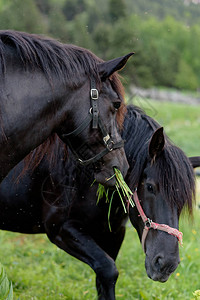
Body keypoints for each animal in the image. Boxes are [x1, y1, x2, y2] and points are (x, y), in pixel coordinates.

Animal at [0, 105, 198, 300]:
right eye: (150, 187)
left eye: (182, 201)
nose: (166, 264)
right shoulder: (60, 229)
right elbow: (108, 270)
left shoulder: (113, 233)